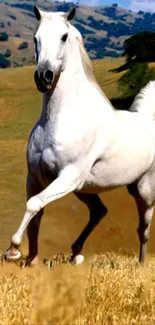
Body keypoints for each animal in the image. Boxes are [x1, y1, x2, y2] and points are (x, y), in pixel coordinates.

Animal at [4, 6, 155, 264]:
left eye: (64, 37)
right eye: (36, 38)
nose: (43, 76)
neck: (59, 120)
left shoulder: (68, 175)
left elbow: (34, 204)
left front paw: (13, 251)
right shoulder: (36, 178)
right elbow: (36, 217)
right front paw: (32, 260)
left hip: (143, 190)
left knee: (143, 229)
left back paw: (141, 264)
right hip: (85, 189)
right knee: (99, 211)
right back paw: (75, 253)